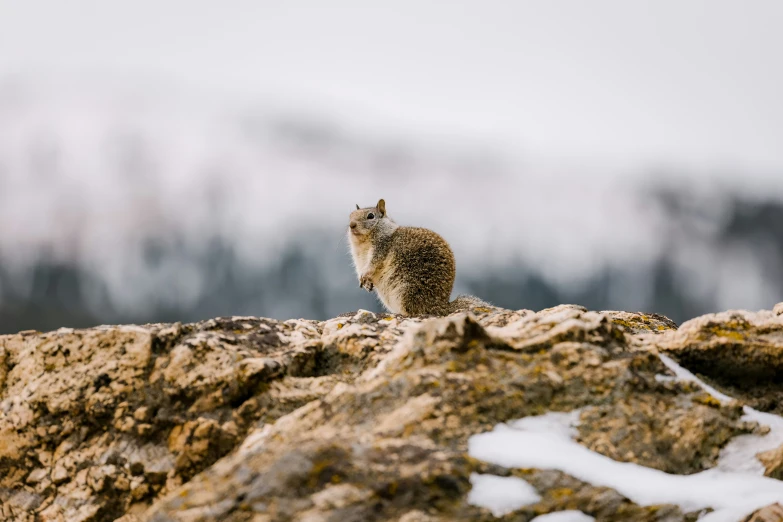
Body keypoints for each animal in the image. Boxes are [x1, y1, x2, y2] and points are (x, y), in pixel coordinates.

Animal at [348, 198, 490, 312]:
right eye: (350, 215)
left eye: (370, 216)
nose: (351, 225)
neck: (363, 242)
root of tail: (441, 306)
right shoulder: (358, 258)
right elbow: (361, 268)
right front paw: (365, 283)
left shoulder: (381, 247)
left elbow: (373, 264)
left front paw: (365, 275)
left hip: (406, 290)